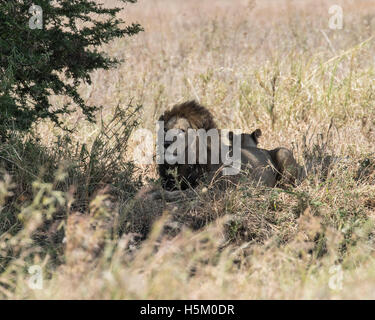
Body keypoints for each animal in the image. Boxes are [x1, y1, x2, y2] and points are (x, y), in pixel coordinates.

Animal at [156, 100, 306, 196]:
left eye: (182, 130)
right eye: (165, 129)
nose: (166, 143)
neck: (183, 163)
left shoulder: (212, 187)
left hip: (283, 152)